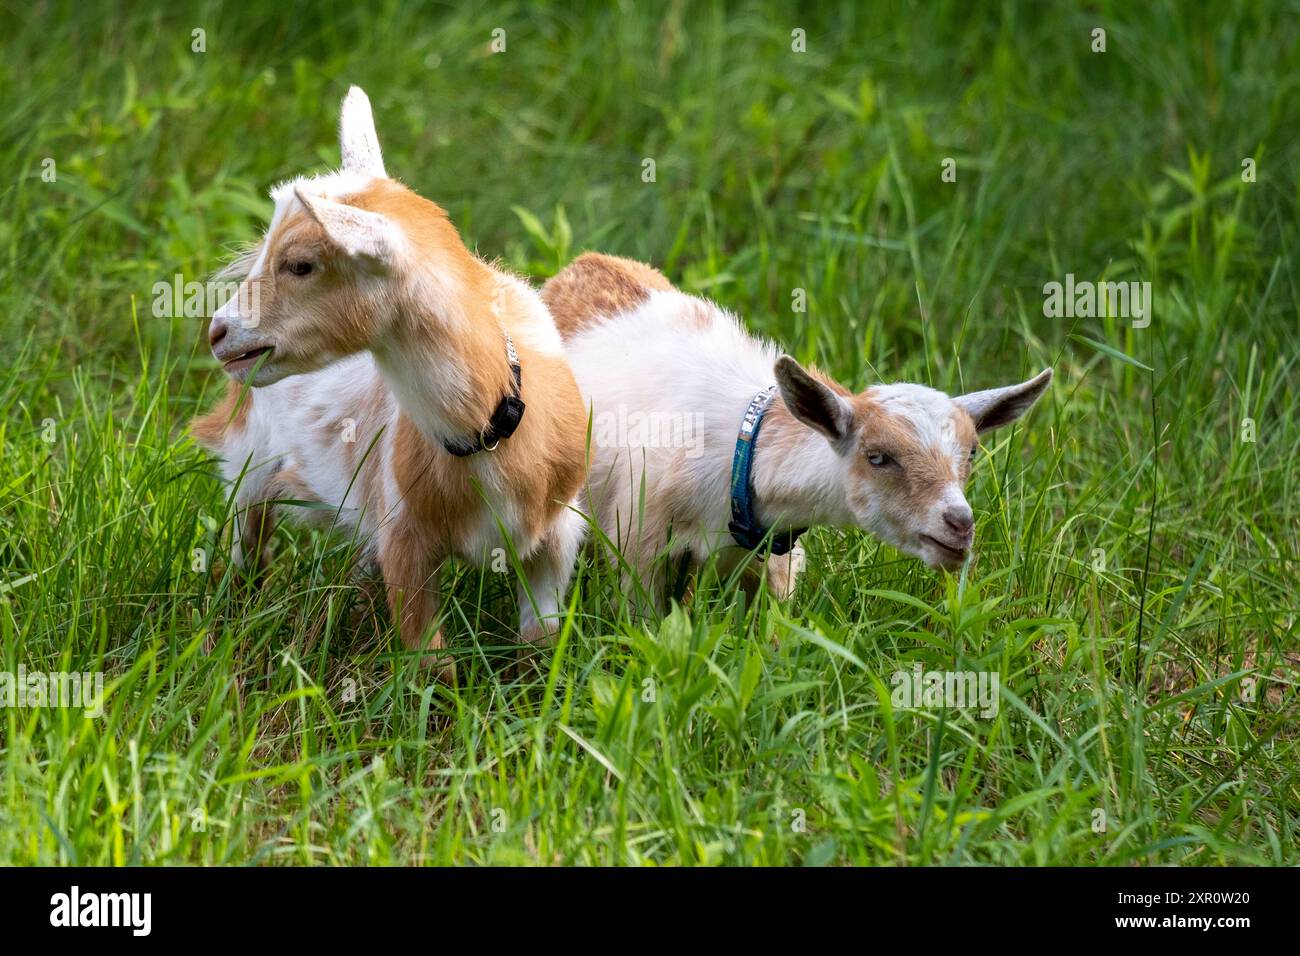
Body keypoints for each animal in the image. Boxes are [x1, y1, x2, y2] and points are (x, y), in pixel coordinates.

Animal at [188, 85, 585, 676]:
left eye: (301, 264)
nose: (219, 332)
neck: (490, 425)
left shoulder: (556, 539)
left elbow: (541, 644)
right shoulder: (404, 538)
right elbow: (432, 667)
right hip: (250, 455)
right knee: (247, 538)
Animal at [543, 254, 1050, 608]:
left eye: (972, 452)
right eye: (877, 456)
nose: (959, 524)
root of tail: (581, 263)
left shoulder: (776, 564)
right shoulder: (636, 544)